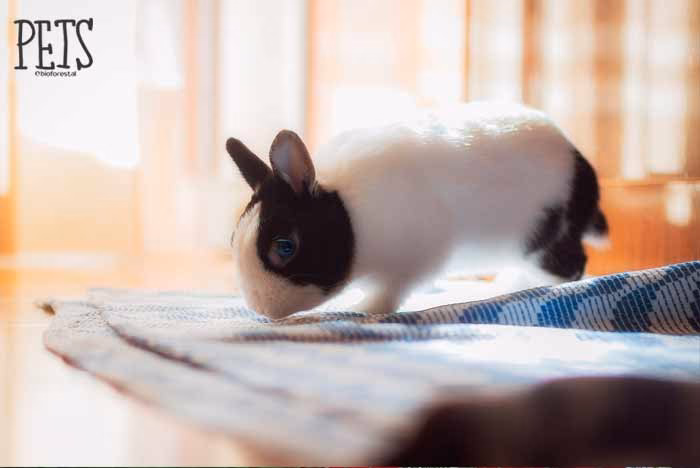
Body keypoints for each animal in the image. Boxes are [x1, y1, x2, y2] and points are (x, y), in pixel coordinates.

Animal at [226, 101, 609, 319]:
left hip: (544, 239)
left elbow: (390, 293)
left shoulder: (414, 260)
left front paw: (359, 309)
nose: (261, 310)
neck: (349, 214)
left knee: (571, 267)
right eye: (232, 241)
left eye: (284, 247)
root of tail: (584, 170)